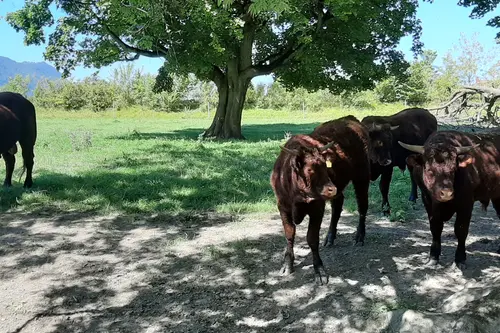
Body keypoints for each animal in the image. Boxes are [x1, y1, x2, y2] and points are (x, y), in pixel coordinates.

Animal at [400, 130, 500, 268]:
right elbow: (435, 228)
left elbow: (461, 229)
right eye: (429, 170)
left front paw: (460, 258)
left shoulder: (466, 204)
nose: (446, 193)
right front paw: (433, 257)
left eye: (453, 169)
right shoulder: (428, 202)